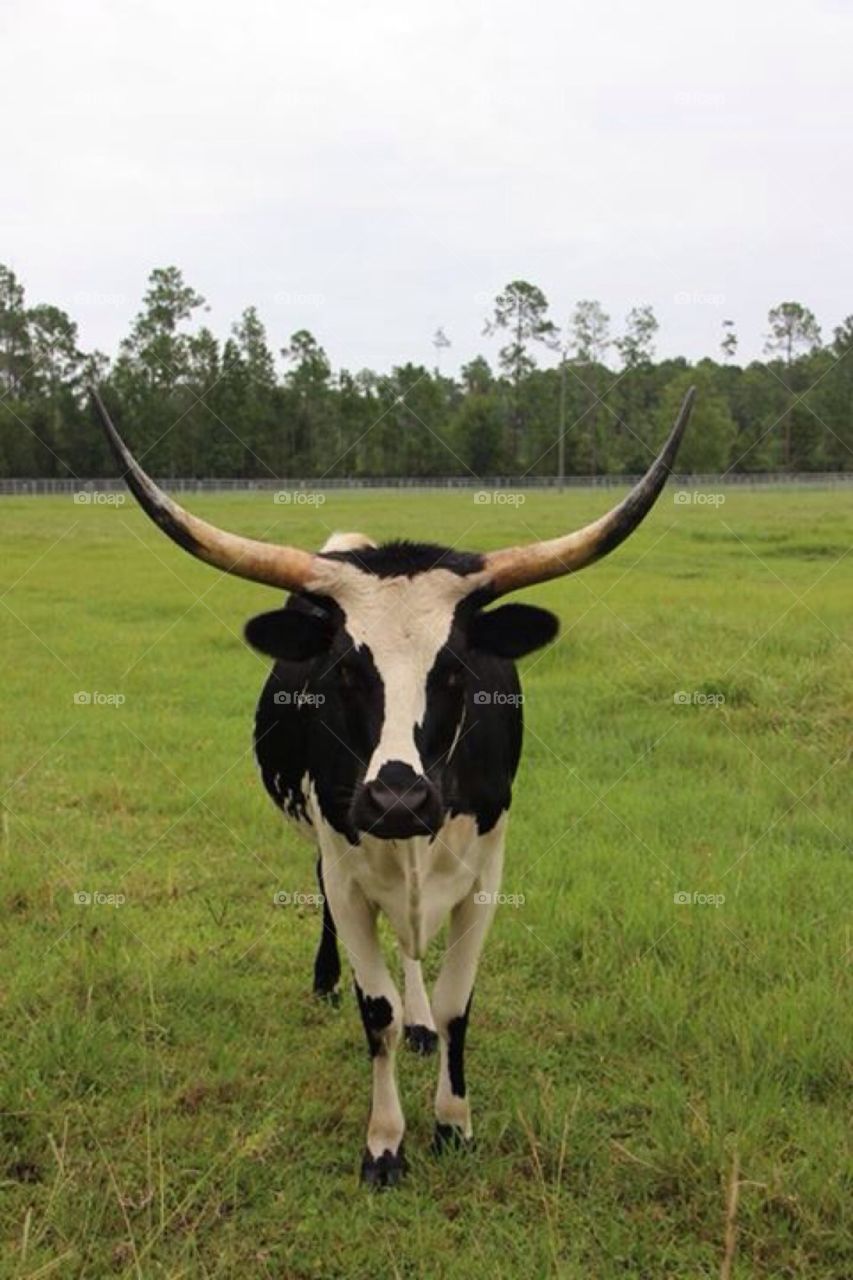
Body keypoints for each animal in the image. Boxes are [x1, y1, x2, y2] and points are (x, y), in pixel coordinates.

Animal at [91, 386, 691, 1187]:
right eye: (347, 668)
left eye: (455, 669)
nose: (398, 799)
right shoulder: (347, 871)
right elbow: (372, 1009)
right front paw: (385, 1141)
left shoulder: (486, 874)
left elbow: (458, 1004)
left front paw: (452, 1120)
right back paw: (333, 984)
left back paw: (420, 1022)